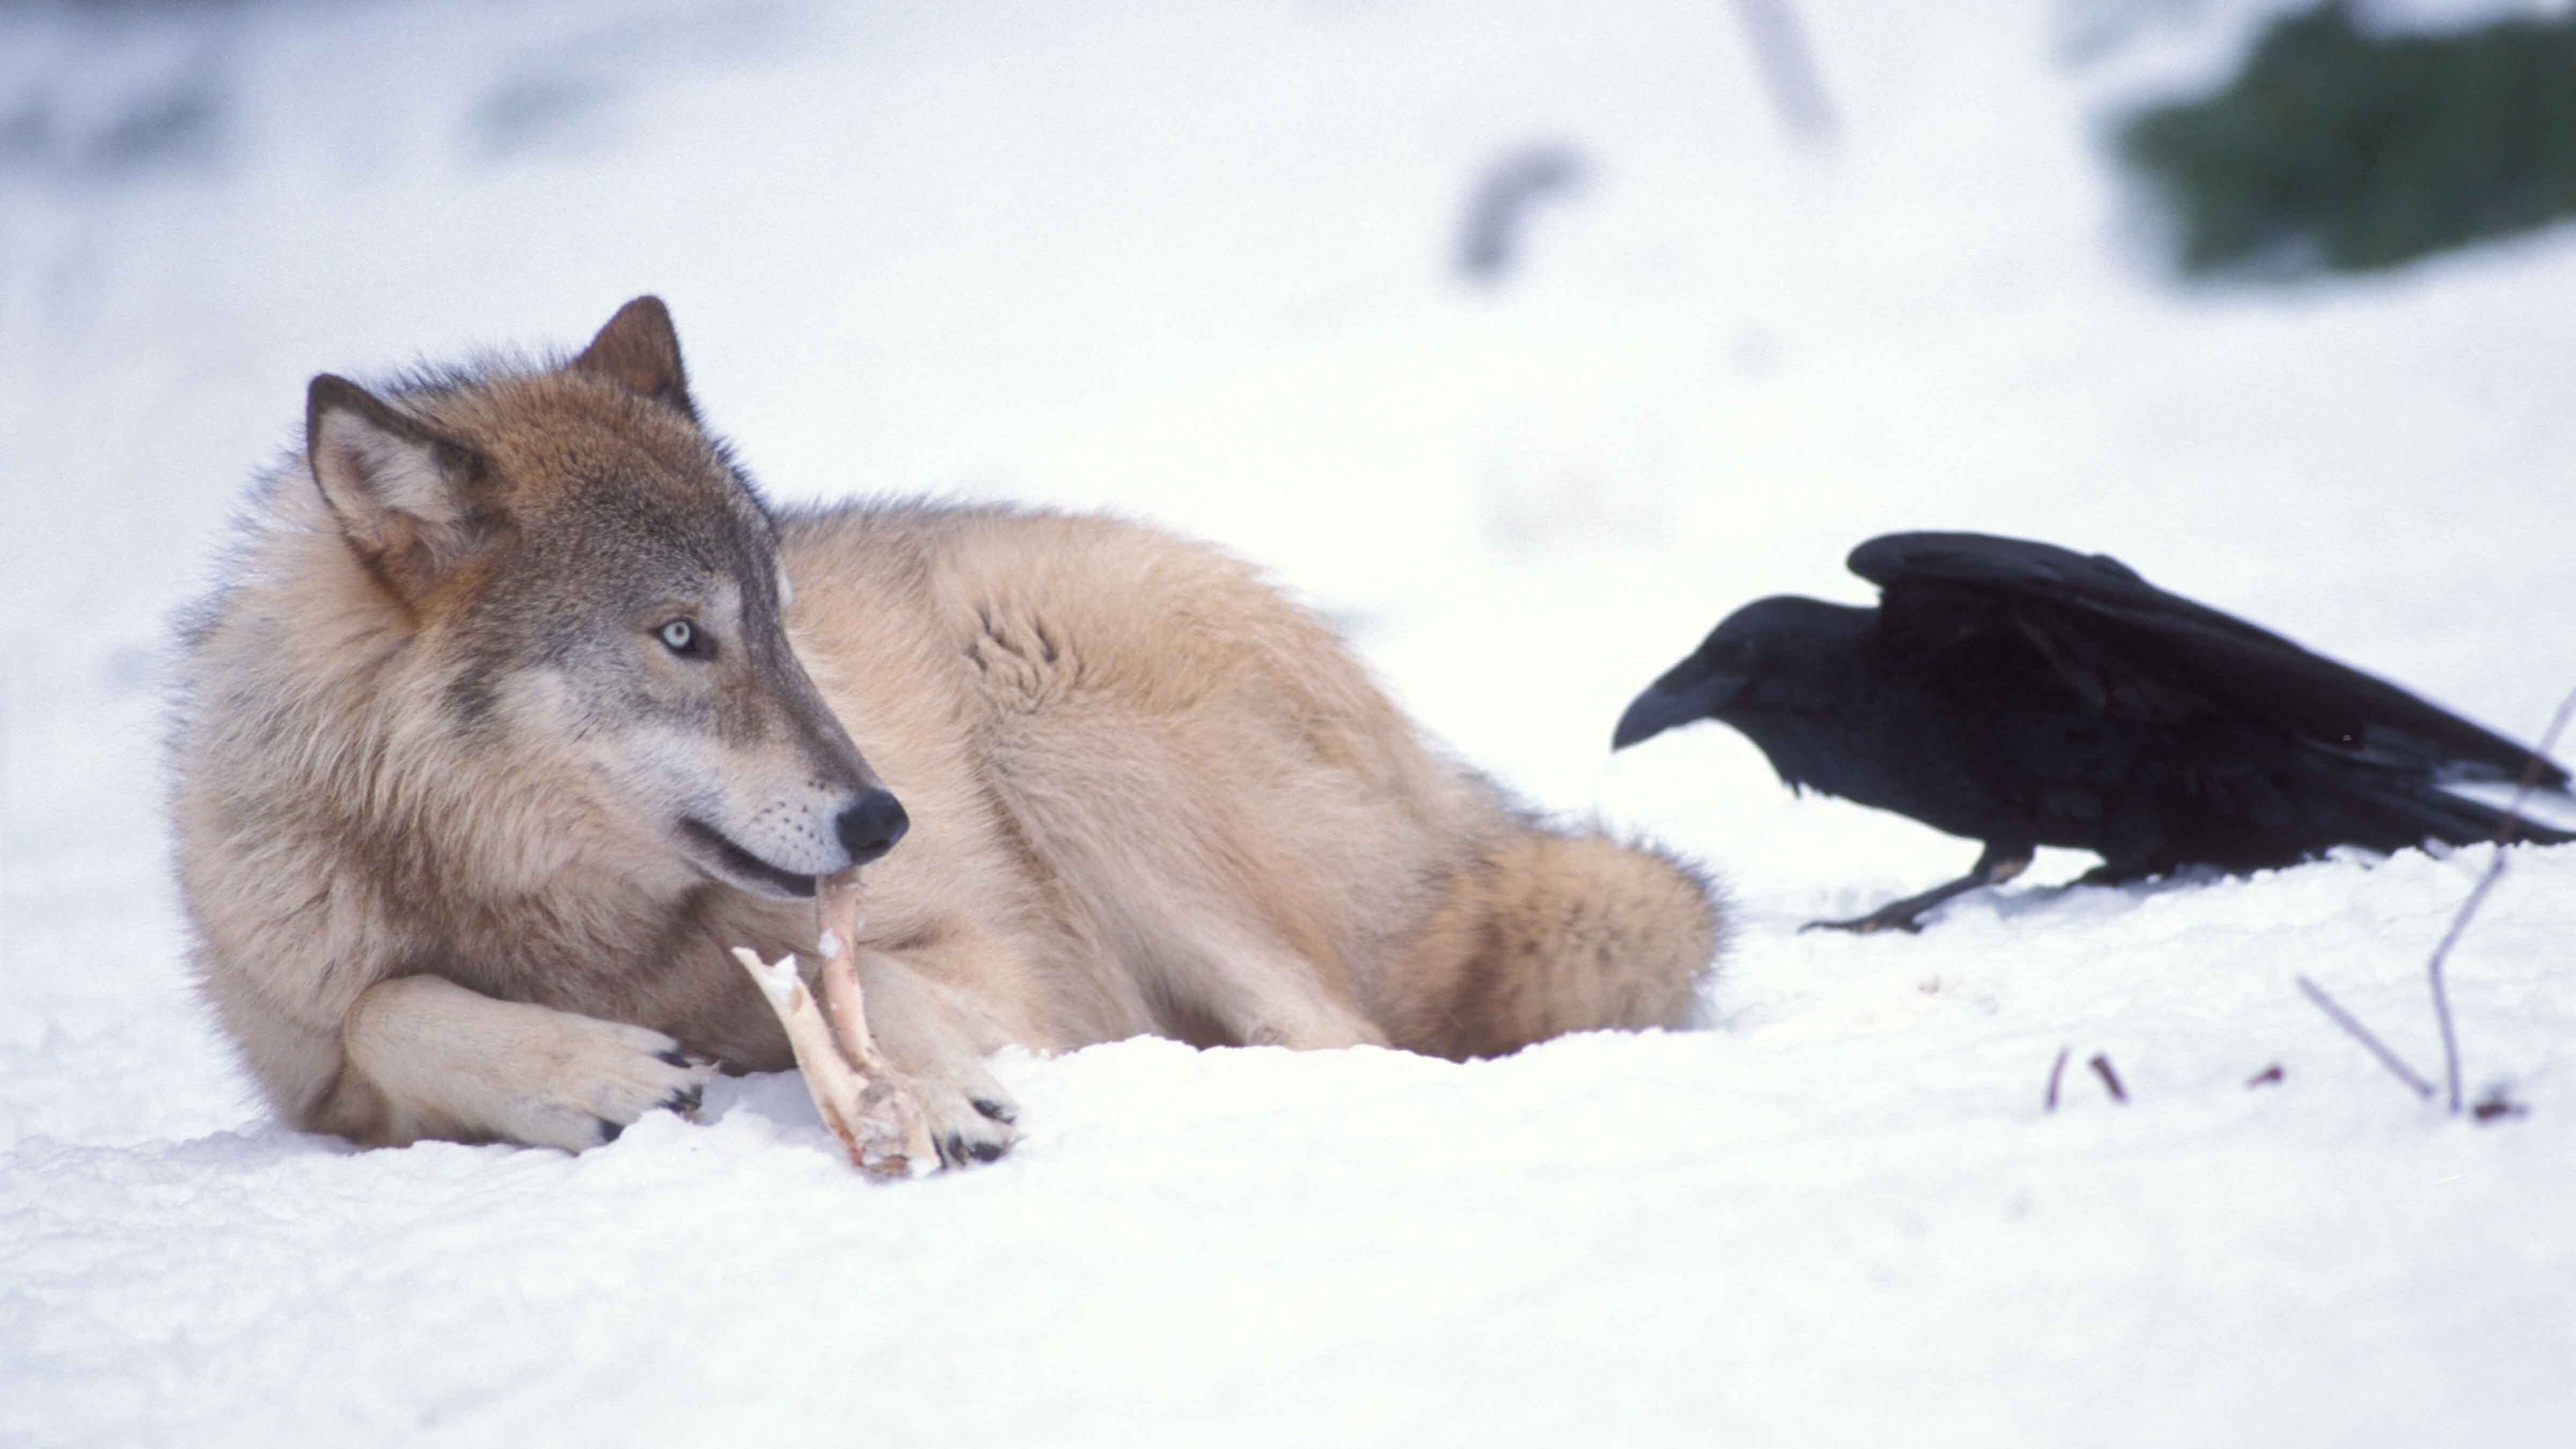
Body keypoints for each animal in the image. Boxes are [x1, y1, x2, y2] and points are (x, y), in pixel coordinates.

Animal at [168, 297, 1725, 1165]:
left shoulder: (993, 964)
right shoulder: (322, 1079)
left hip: (1042, 679)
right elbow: (386, 1004)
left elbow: (847, 970)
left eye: (782, 618)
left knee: (1355, 1044)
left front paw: (917, 1088)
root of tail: (1461, 798)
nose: (883, 815)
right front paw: (587, 1071)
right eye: (681, 635)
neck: (555, 922)